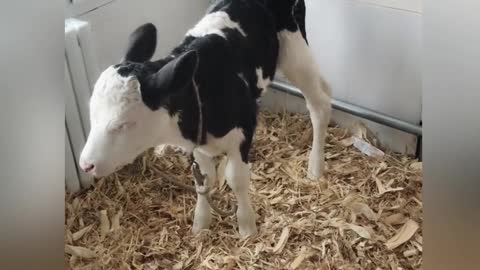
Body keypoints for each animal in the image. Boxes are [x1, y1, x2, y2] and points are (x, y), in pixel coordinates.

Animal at [80, 0, 332, 236]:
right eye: (92, 113)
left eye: (124, 123)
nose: (85, 164)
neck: (200, 90)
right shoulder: (198, 141)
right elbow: (204, 179)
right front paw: (201, 224)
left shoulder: (244, 129)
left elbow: (236, 178)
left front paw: (247, 227)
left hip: (294, 49)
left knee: (320, 103)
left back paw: (315, 167)